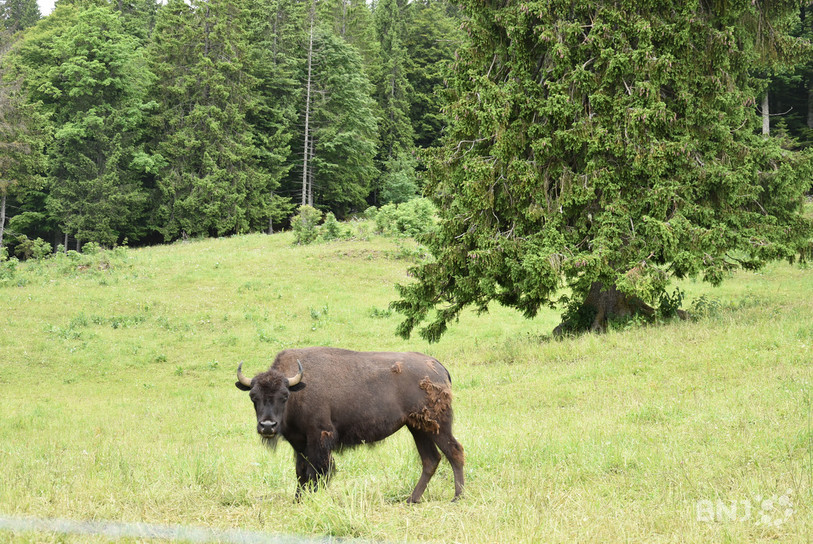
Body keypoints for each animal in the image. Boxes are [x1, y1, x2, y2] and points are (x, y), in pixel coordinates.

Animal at [235, 347, 464, 502]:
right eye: (253, 396)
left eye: (284, 396)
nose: (267, 426)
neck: (298, 388)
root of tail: (438, 366)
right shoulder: (299, 444)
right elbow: (301, 472)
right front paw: (298, 500)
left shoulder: (319, 438)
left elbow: (317, 471)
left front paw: (315, 499)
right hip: (419, 428)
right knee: (431, 459)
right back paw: (411, 499)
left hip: (438, 426)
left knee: (454, 451)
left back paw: (457, 498)